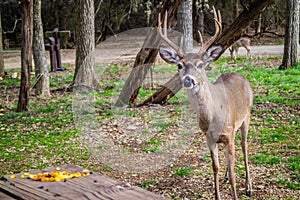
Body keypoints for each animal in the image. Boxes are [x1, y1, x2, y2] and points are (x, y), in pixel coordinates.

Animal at [157, 7, 253, 198]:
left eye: (200, 64)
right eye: (179, 65)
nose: (188, 79)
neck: (212, 117)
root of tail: (241, 76)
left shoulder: (229, 133)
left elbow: (233, 172)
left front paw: (236, 193)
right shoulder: (209, 137)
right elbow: (215, 167)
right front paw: (217, 194)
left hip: (247, 116)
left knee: (245, 147)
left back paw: (248, 187)